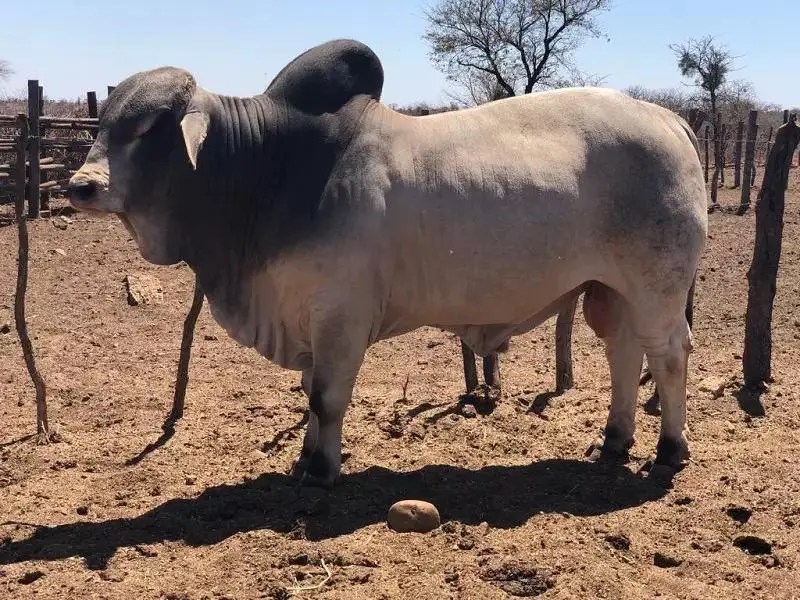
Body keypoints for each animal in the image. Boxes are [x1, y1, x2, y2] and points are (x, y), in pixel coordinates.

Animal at [68, 39, 707, 488]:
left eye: (147, 128)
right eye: (103, 124)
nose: (81, 187)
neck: (270, 167)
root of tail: (668, 118)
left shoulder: (341, 316)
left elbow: (327, 397)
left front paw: (322, 471)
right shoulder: (310, 319)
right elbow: (311, 394)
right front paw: (307, 459)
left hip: (657, 288)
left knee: (669, 355)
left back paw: (669, 450)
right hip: (609, 290)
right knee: (624, 356)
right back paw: (614, 441)